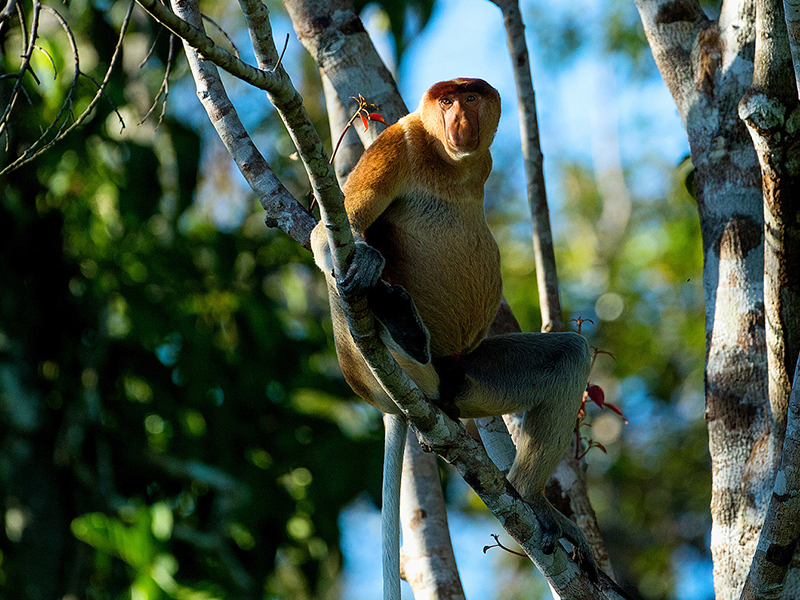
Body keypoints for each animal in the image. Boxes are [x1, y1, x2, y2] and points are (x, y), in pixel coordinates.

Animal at [310, 76, 592, 596]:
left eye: (471, 97)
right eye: (445, 101)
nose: (459, 119)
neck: (450, 165)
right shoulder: (394, 146)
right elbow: (332, 230)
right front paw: (371, 269)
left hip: (467, 377)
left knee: (569, 354)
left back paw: (532, 502)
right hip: (364, 367)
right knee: (341, 274)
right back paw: (395, 319)